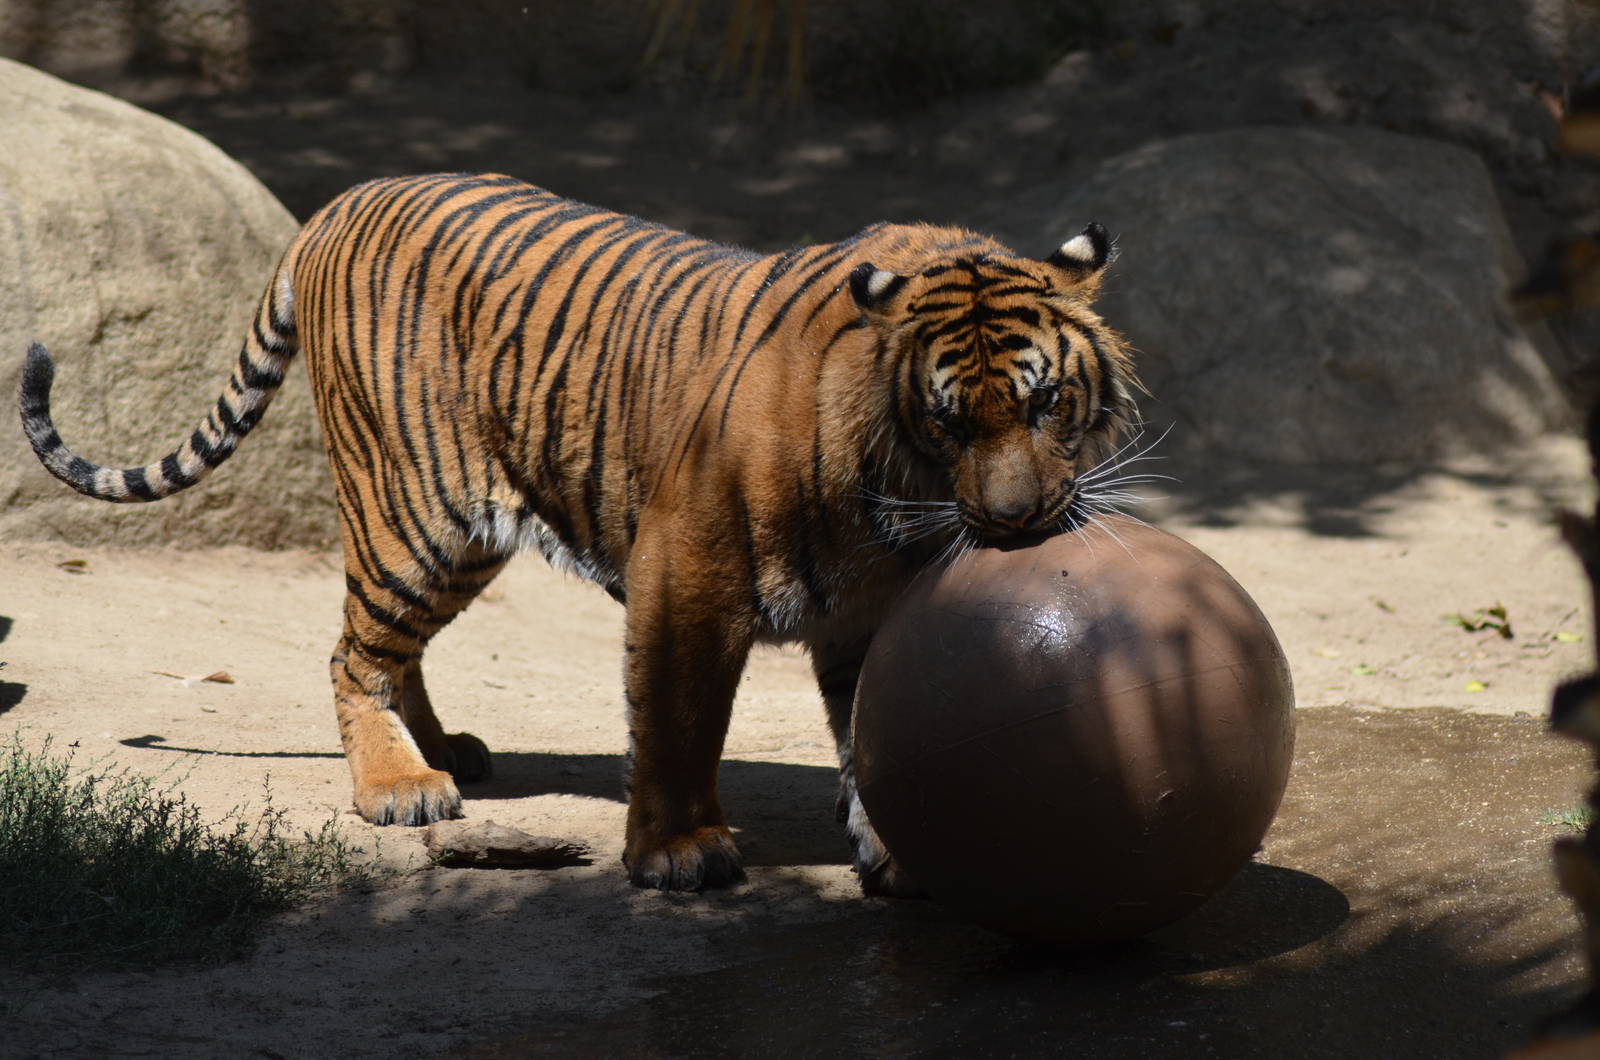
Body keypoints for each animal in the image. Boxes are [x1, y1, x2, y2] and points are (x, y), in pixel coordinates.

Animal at [19, 172, 1140, 894]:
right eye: (950, 422)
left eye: (1047, 405)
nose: (1015, 523)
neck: (903, 506)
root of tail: (340, 201)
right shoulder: (689, 565)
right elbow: (681, 718)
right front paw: (680, 851)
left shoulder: (875, 611)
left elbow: (880, 728)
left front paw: (898, 849)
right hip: (414, 512)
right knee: (350, 652)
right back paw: (399, 785)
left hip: (461, 539)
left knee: (389, 648)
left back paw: (445, 749)